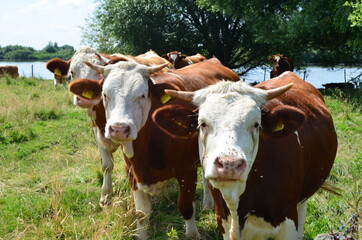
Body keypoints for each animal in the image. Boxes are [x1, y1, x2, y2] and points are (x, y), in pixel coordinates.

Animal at [68, 58, 240, 240]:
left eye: (142, 95)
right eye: (105, 95)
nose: (119, 129)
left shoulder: (186, 170)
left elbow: (186, 206)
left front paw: (193, 233)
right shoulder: (132, 173)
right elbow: (142, 214)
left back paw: (207, 203)